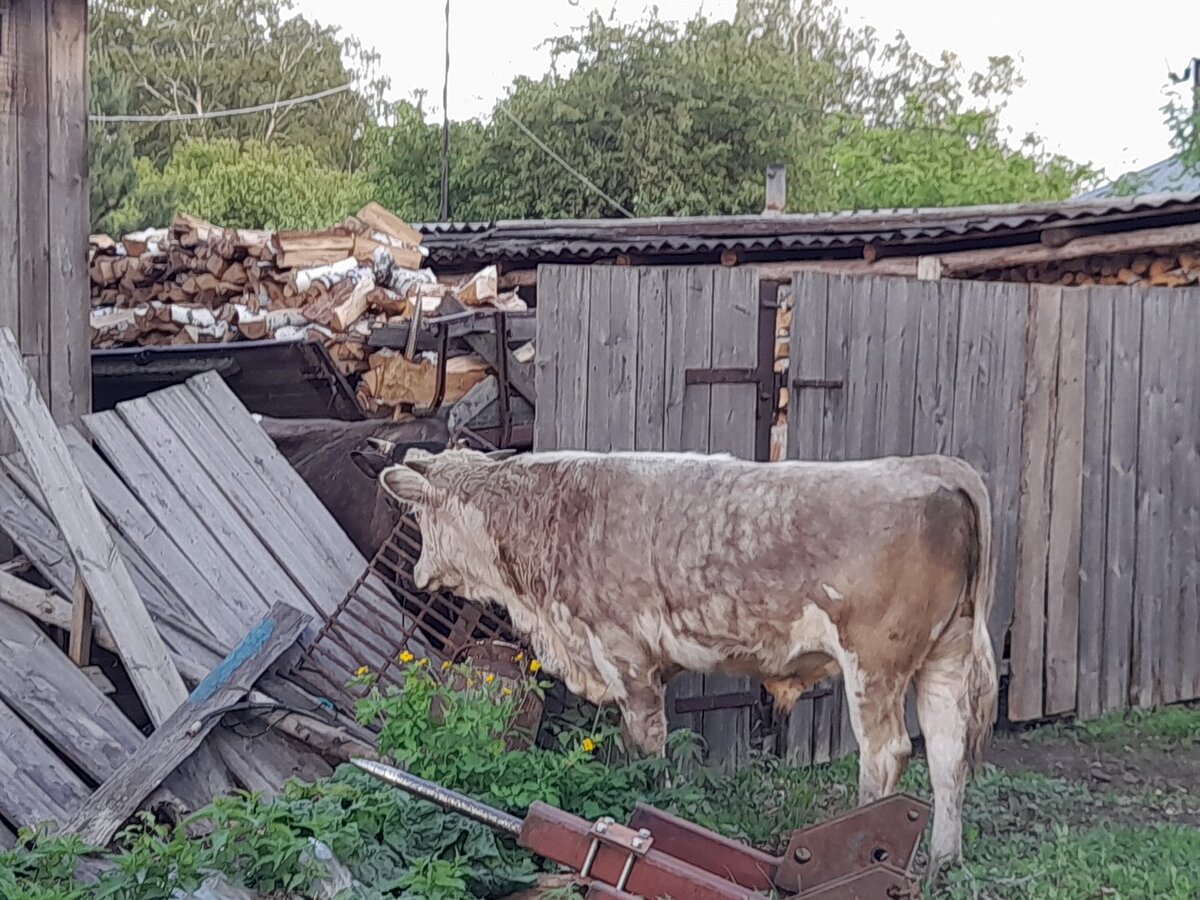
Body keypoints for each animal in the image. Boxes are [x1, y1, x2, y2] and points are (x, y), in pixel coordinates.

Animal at [379, 448, 998, 878]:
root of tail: (929, 467)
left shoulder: (624, 652)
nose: (416, 573)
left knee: (887, 754)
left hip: (875, 663)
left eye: (421, 519)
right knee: (946, 750)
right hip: (945, 655)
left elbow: (647, 748)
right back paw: (944, 861)